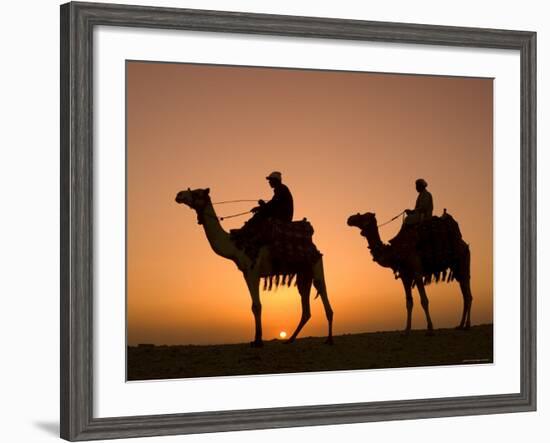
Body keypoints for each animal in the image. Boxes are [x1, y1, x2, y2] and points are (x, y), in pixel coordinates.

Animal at [177, 187, 334, 346]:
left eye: (196, 193)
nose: (179, 195)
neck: (236, 246)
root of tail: (314, 245)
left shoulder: (253, 270)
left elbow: (257, 306)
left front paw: (258, 341)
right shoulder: (246, 273)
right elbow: (253, 306)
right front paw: (256, 339)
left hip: (316, 264)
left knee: (322, 289)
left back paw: (329, 339)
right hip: (304, 273)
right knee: (306, 307)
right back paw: (290, 339)